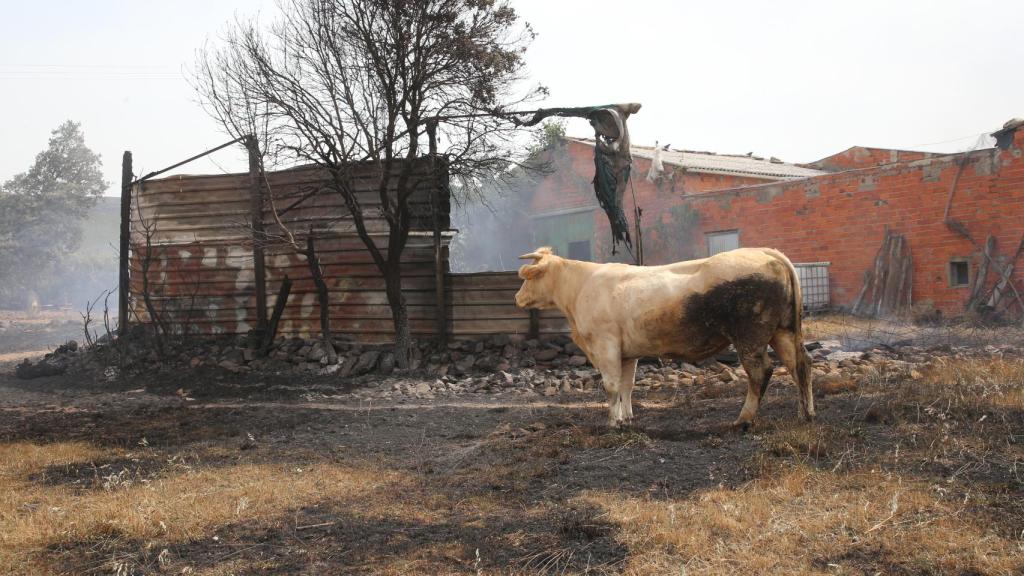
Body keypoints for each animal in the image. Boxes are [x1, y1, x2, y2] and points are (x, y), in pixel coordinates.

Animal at [512, 243, 815, 428]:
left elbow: (611, 386)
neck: (579, 288)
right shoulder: (627, 353)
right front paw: (626, 419)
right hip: (782, 331)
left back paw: (744, 420)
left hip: (750, 337)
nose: (517, 298)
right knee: (800, 366)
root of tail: (766, 253)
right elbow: (627, 386)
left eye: (527, 278)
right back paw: (805, 414)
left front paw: (612, 422)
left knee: (761, 372)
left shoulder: (605, 345)